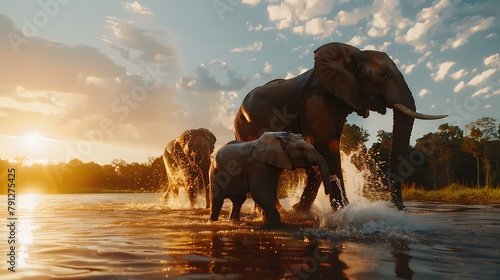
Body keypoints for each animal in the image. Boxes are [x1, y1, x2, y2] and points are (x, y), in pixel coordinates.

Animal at [233, 42, 446, 210]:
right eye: (383, 76)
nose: (400, 208)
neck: (352, 55)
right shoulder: (315, 100)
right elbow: (326, 145)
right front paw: (344, 210)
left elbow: (323, 149)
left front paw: (300, 210)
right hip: (245, 126)